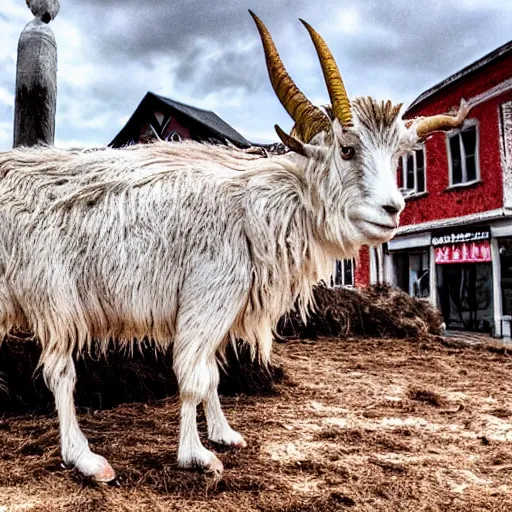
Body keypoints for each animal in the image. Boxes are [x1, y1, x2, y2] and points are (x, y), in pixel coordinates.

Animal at [0, 14, 466, 482]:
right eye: (348, 150)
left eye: (398, 157)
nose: (393, 210)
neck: (254, 205)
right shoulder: (206, 299)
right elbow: (192, 377)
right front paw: (196, 455)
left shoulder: (223, 308)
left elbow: (212, 375)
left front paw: (224, 434)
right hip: (56, 298)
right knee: (61, 372)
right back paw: (85, 457)